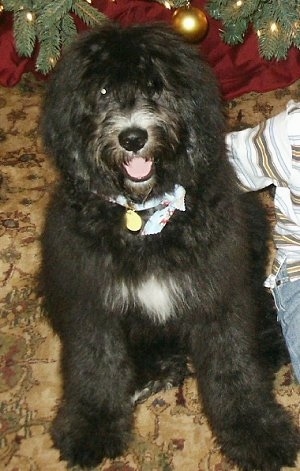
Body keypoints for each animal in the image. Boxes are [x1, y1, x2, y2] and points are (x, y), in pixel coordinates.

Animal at [41, 23, 298, 471]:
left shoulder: (218, 291)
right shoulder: (91, 297)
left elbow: (233, 366)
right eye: (103, 91)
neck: (145, 218)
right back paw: (152, 373)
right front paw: (92, 427)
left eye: (154, 86)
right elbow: (95, 364)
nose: (132, 137)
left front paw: (256, 432)